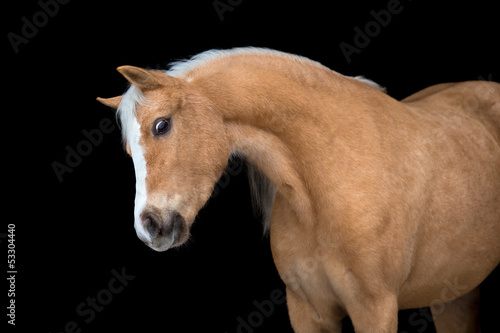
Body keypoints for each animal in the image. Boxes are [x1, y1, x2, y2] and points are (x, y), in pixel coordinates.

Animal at [97, 47, 500, 332]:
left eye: (161, 125)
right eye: (129, 151)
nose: (149, 227)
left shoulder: (376, 310)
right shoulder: (308, 310)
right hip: (456, 295)